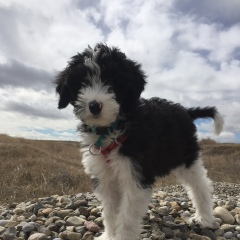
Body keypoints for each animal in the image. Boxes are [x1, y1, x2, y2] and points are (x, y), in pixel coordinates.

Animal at [55, 43, 224, 240]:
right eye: (82, 83)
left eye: (112, 82)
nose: (95, 106)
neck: (113, 129)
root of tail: (186, 111)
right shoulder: (105, 177)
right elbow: (110, 212)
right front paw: (110, 235)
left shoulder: (136, 174)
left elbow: (127, 215)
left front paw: (122, 236)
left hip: (187, 158)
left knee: (201, 185)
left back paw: (204, 218)